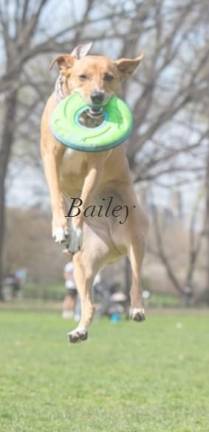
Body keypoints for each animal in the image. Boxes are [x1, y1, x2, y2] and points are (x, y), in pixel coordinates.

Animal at [40, 42, 149, 342]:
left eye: (109, 77)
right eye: (82, 77)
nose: (98, 97)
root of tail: (112, 243)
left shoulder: (95, 167)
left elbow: (86, 194)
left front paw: (73, 230)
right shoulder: (50, 156)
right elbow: (56, 193)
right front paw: (61, 229)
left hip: (135, 237)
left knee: (136, 280)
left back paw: (137, 309)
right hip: (82, 264)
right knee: (90, 303)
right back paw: (79, 331)